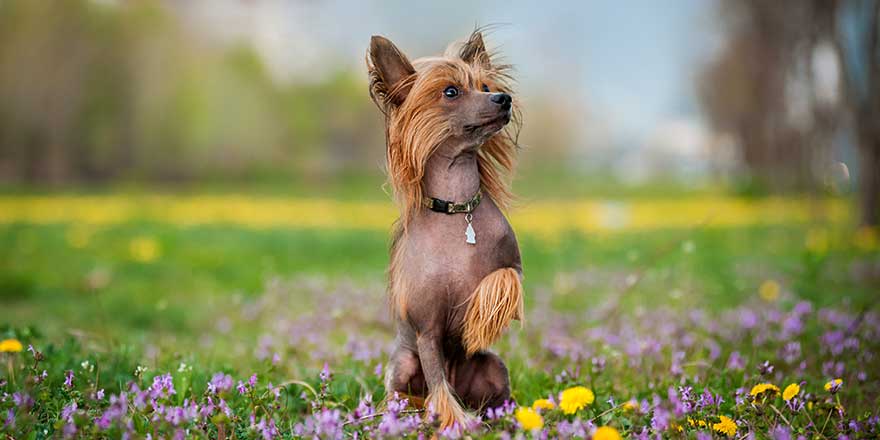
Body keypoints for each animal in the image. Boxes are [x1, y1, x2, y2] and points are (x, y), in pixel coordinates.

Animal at [364, 28, 524, 430]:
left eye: (485, 85)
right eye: (450, 92)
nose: (503, 99)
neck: (457, 211)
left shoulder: (514, 266)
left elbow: (501, 280)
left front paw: (476, 319)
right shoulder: (427, 332)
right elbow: (438, 383)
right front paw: (455, 422)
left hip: (493, 367)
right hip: (404, 365)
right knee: (414, 391)